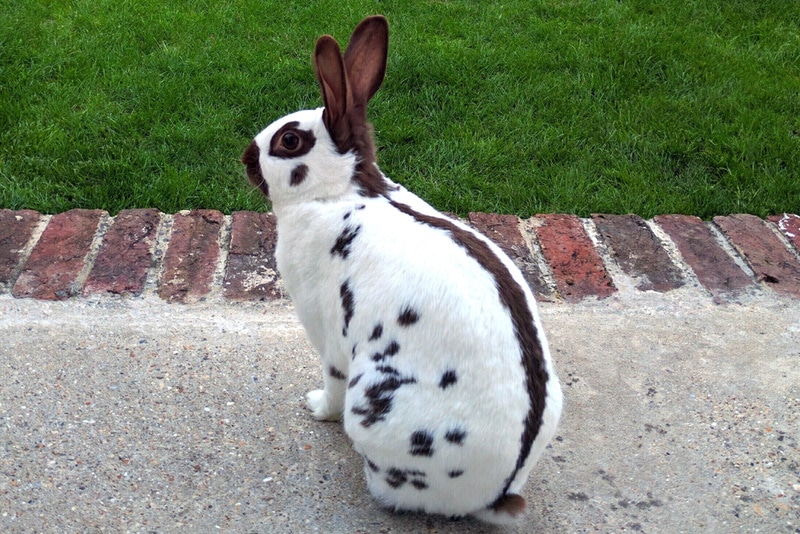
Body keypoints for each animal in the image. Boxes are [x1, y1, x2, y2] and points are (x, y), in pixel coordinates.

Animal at [241, 15, 562, 524]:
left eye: (289, 140)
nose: (245, 158)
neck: (340, 193)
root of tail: (498, 492)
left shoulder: (330, 338)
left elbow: (330, 384)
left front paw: (314, 407)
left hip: (373, 404)